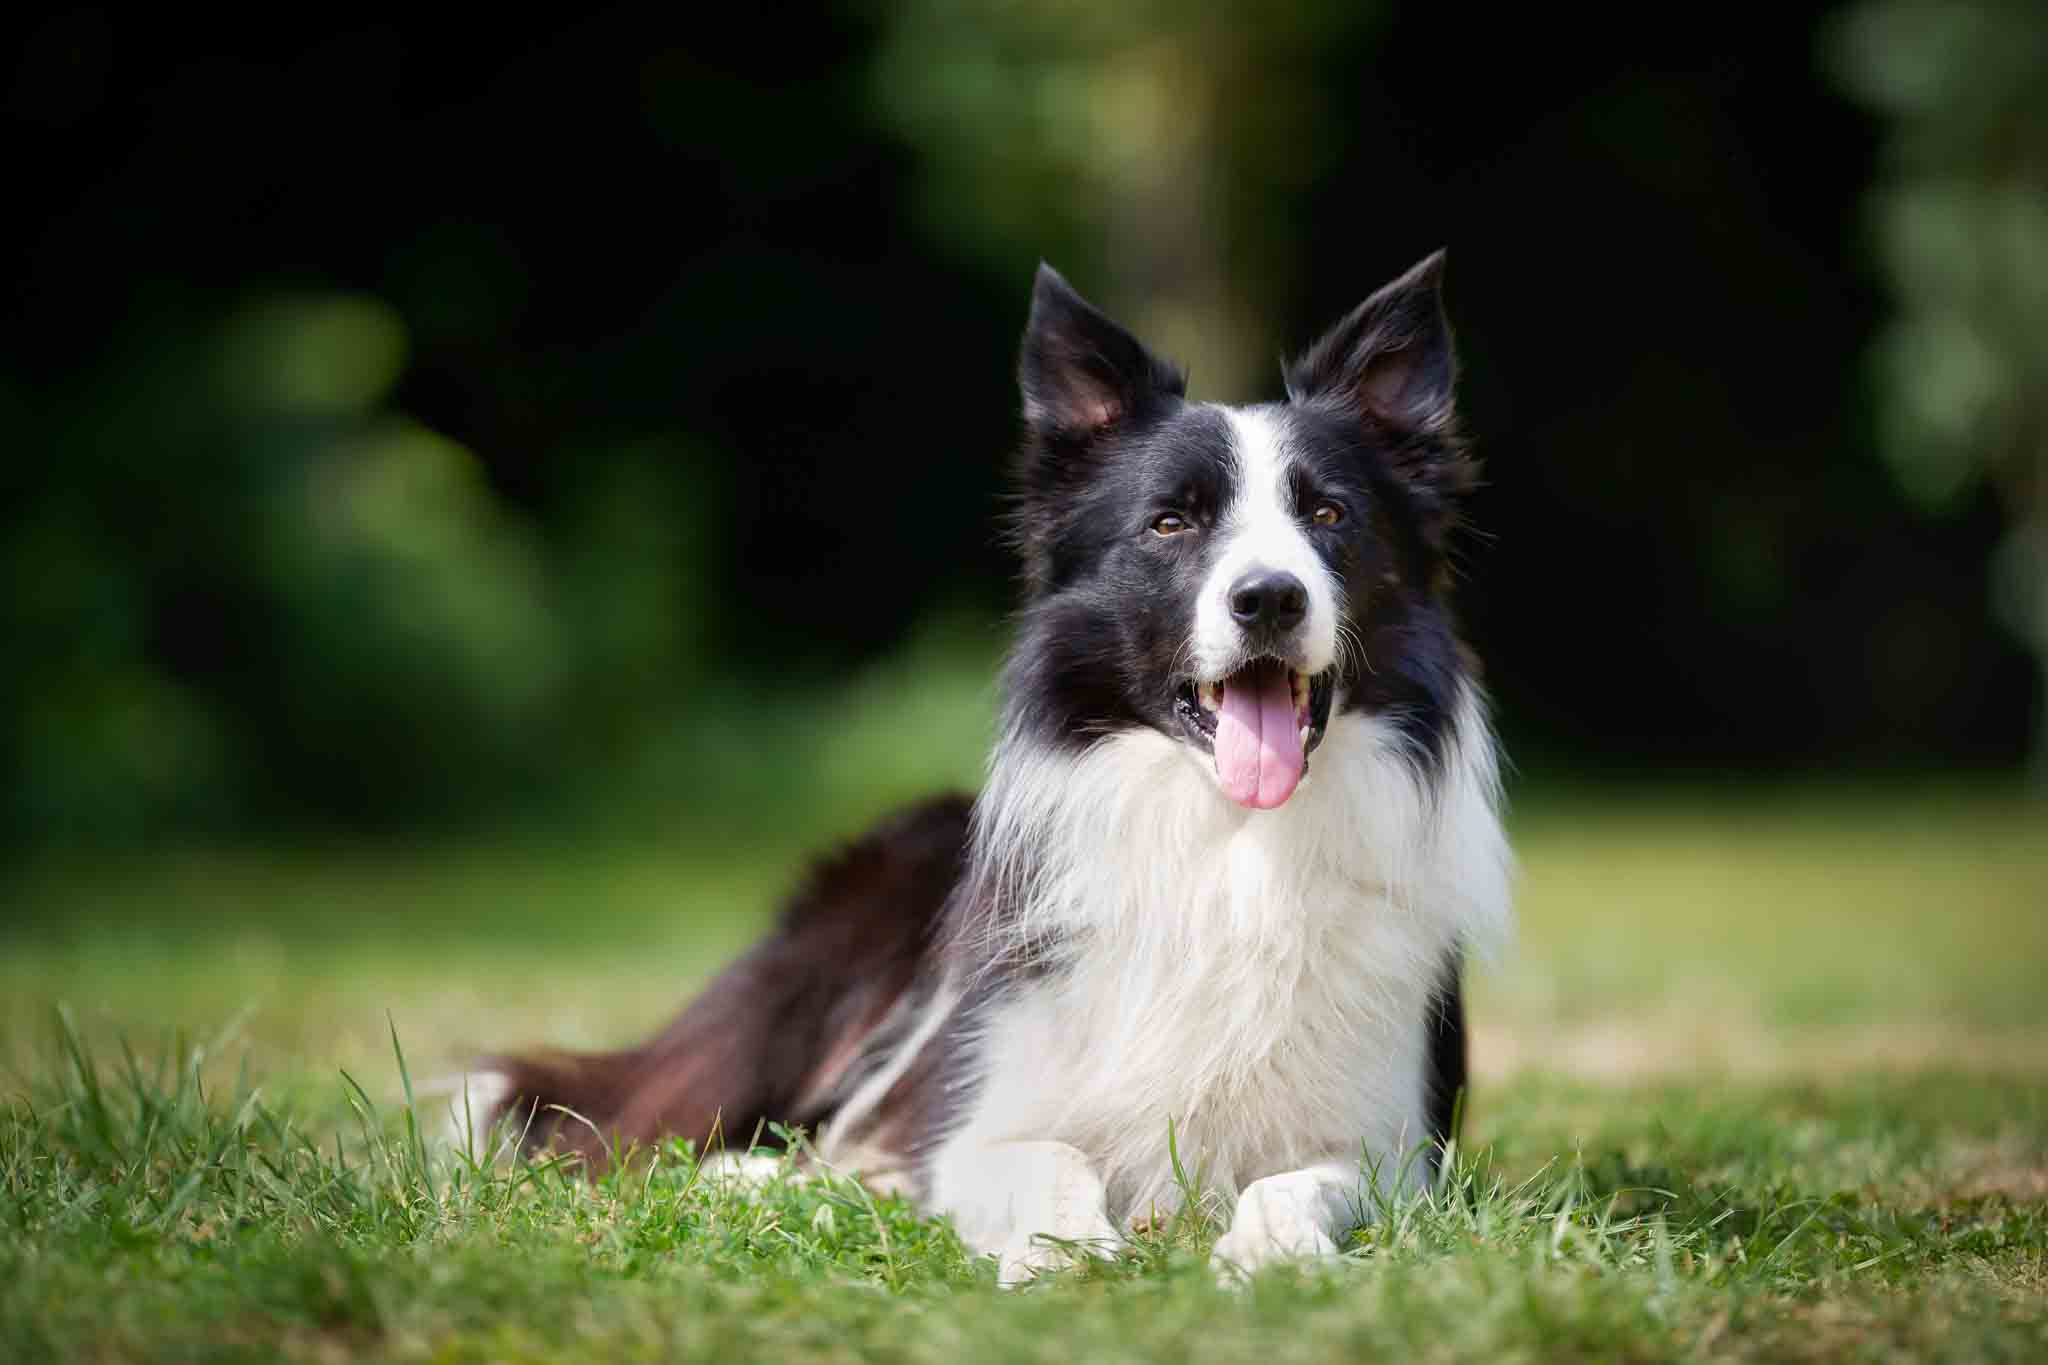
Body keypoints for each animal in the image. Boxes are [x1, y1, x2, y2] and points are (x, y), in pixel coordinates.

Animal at [471, 253, 1515, 1285]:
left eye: (1330, 513)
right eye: (1170, 523)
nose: (1269, 597)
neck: (1229, 841)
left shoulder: (1396, 1148)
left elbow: (1296, 1181)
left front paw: (1274, 1253)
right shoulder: (979, 1115)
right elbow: (1045, 1158)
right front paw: (1067, 1255)